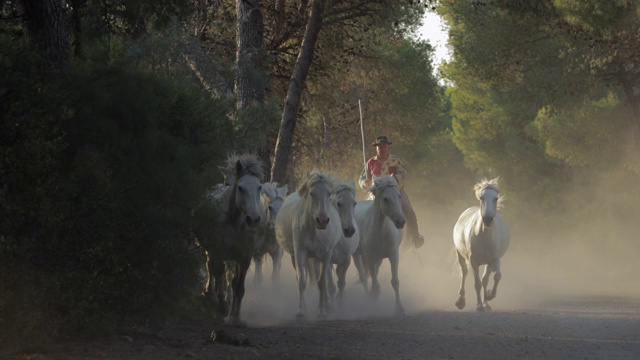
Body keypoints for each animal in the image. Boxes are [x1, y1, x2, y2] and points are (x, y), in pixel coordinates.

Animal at [276, 172, 344, 318]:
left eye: (329, 193)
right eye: (312, 193)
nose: (322, 220)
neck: (314, 230)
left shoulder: (326, 255)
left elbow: (322, 282)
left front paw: (322, 310)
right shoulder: (300, 253)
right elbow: (301, 281)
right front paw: (301, 310)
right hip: (295, 256)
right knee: (299, 277)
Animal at [350, 175, 404, 316]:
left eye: (399, 196)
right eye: (385, 198)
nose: (401, 222)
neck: (381, 232)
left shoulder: (393, 256)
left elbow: (395, 282)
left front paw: (399, 308)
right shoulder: (370, 258)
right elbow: (374, 283)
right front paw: (374, 301)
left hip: (379, 259)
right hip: (356, 255)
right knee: (364, 278)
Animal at [456, 179, 510, 310]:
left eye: (496, 198)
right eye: (481, 197)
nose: (487, 219)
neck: (484, 237)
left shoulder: (494, 260)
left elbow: (497, 276)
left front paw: (489, 295)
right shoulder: (473, 262)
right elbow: (477, 284)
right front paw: (479, 306)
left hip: (488, 263)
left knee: (486, 279)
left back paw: (486, 303)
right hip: (460, 254)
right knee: (464, 272)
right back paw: (461, 301)